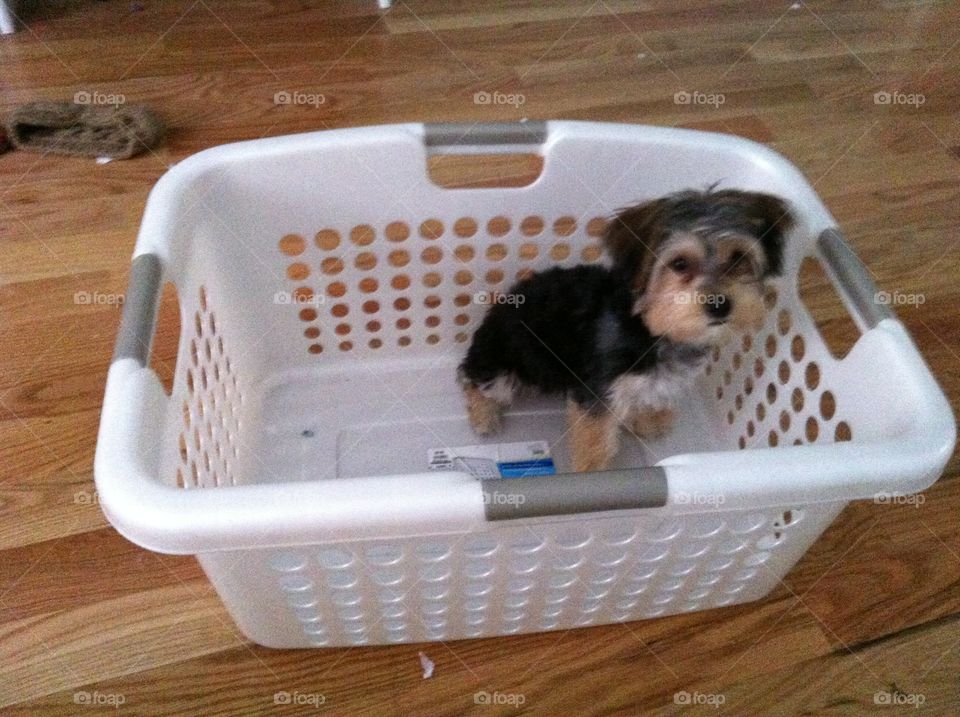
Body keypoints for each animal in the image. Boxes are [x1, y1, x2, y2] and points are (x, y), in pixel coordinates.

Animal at [458, 187, 796, 472]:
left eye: (738, 258)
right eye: (680, 264)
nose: (720, 305)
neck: (651, 327)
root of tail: (496, 309)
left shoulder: (649, 382)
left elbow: (646, 396)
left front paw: (649, 420)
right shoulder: (599, 391)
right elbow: (596, 439)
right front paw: (591, 474)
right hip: (505, 364)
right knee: (474, 380)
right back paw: (484, 415)